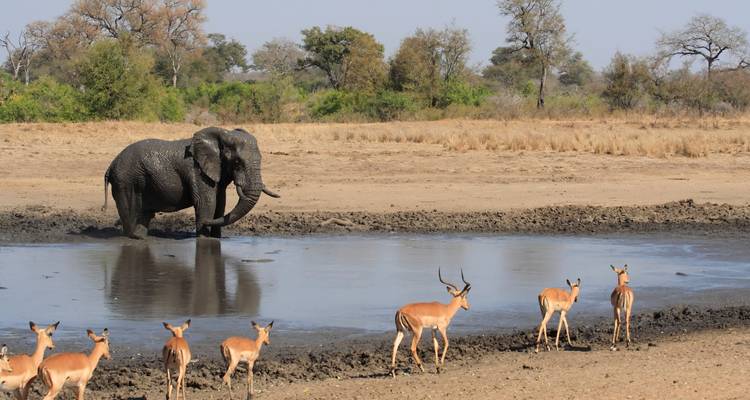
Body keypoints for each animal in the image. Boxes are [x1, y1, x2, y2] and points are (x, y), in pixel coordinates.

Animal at [104, 127, 279, 239]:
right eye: (237, 162)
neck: (222, 135)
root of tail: (110, 166)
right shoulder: (197, 171)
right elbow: (207, 204)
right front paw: (204, 239)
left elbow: (220, 205)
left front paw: (216, 238)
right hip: (125, 182)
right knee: (130, 215)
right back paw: (134, 237)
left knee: (143, 215)